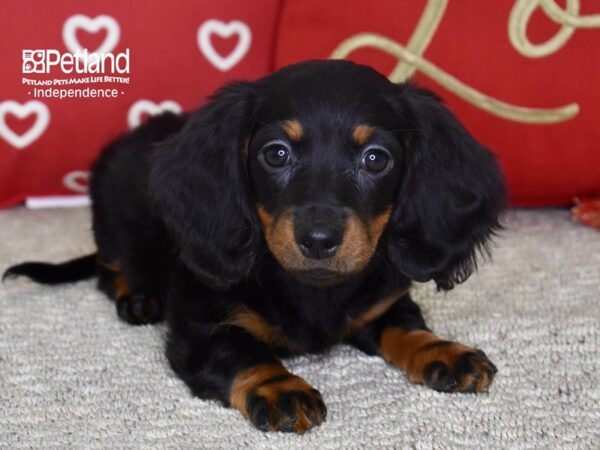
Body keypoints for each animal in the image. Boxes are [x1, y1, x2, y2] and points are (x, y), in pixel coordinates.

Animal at [4, 59, 504, 432]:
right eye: (276, 153)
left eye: (376, 159)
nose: (318, 239)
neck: (312, 289)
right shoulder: (202, 329)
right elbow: (242, 351)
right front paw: (280, 386)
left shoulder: (383, 305)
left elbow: (407, 328)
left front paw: (442, 351)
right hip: (112, 215)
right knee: (111, 269)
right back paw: (137, 298)